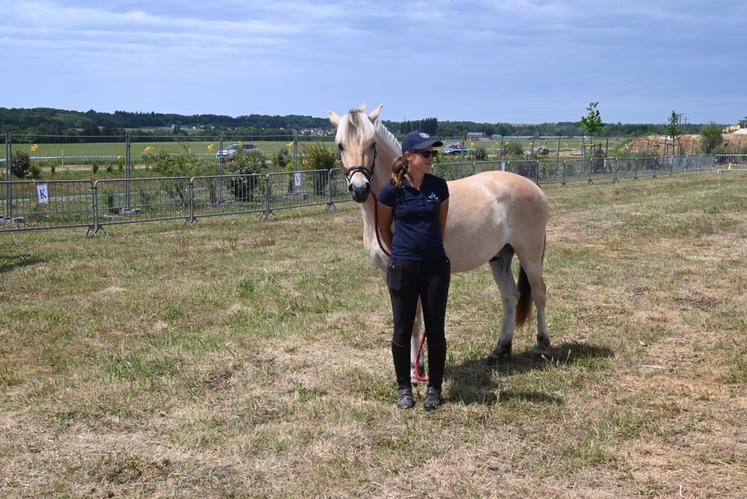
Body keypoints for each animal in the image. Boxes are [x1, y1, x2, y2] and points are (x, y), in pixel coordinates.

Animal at [328, 103, 548, 374]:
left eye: (371, 144)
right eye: (340, 145)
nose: (359, 188)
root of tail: (534, 187)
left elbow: (414, 321)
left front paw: (416, 369)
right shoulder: (391, 274)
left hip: (530, 255)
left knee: (539, 293)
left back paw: (542, 345)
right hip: (500, 257)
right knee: (511, 296)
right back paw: (500, 350)